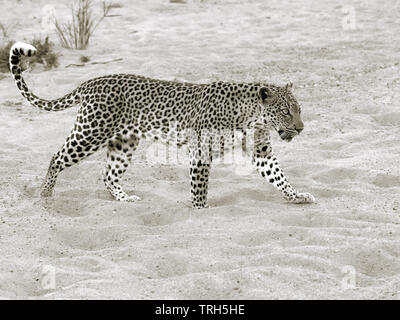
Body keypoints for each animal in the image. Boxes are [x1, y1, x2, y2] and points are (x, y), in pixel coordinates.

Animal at [8, 42, 316, 208]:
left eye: (299, 110)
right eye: (286, 111)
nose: (301, 128)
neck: (252, 116)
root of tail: (90, 82)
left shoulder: (261, 152)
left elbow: (279, 177)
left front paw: (298, 196)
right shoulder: (200, 151)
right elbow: (199, 186)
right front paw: (201, 209)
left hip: (123, 143)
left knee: (108, 175)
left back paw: (125, 199)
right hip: (91, 132)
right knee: (57, 157)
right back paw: (45, 195)